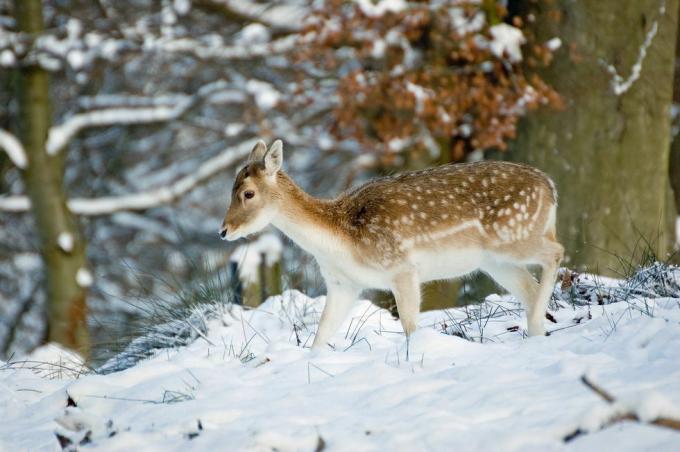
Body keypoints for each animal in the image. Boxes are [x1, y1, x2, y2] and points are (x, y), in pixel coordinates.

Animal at [222, 139, 564, 348]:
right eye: (232, 188)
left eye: (248, 193)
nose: (224, 230)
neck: (341, 242)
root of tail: (551, 188)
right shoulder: (343, 284)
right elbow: (319, 336)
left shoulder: (402, 268)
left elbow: (411, 327)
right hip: (497, 262)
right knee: (531, 287)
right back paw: (538, 332)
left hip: (516, 235)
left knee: (556, 253)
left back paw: (536, 322)